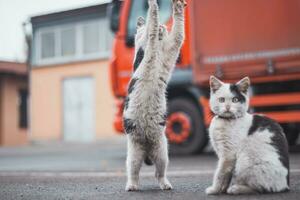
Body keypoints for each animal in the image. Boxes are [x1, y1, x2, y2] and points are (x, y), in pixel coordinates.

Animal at [122, 0, 185, 191]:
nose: (164, 27)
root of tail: (147, 150)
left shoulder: (171, 49)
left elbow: (178, 31)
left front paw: (177, 8)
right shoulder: (149, 52)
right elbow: (152, 22)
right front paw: (153, 8)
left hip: (162, 152)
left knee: (159, 173)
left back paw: (166, 185)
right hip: (134, 156)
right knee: (134, 173)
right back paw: (132, 186)